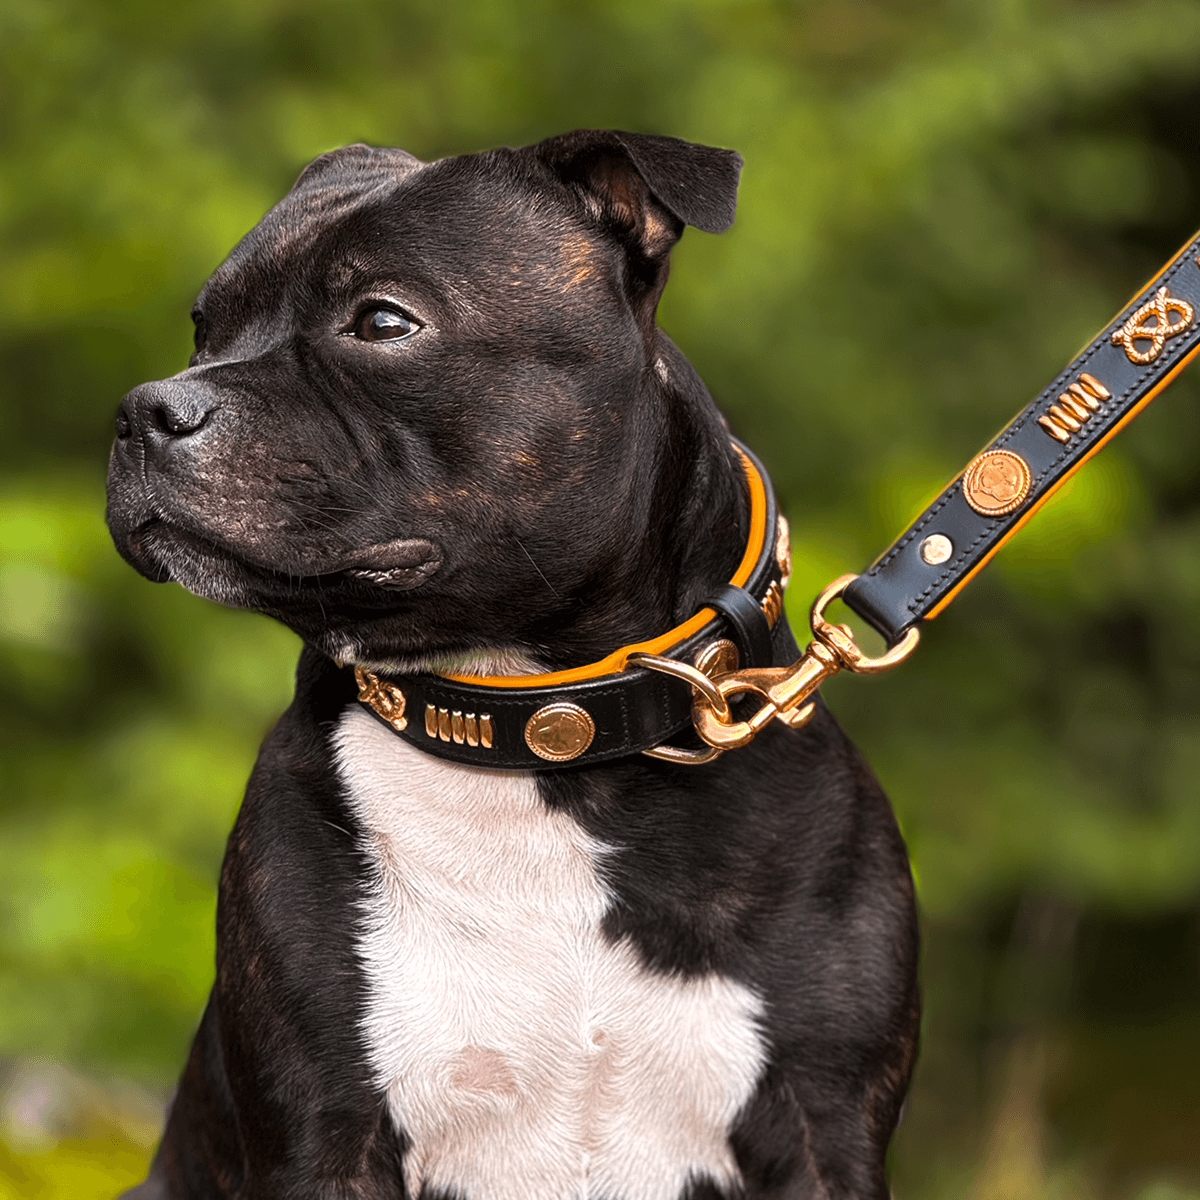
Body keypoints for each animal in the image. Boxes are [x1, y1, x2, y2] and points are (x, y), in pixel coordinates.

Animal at [110, 131, 916, 1200]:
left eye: (383, 322)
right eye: (204, 330)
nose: (144, 408)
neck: (536, 734)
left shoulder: (826, 1126)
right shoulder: (323, 1134)